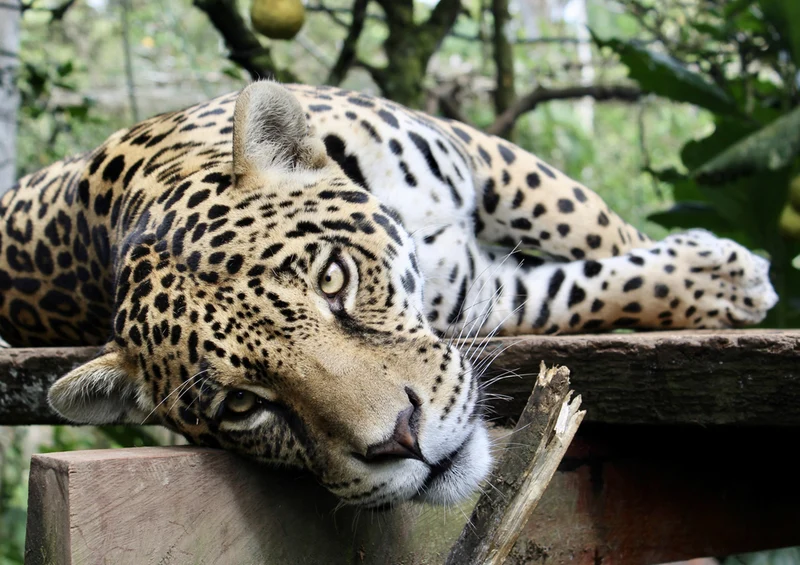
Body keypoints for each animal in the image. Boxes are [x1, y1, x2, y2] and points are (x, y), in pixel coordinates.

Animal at [0, 81, 777, 507]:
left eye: (333, 278)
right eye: (242, 405)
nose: (403, 441)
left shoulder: (482, 153)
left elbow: (586, 221)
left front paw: (730, 275)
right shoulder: (483, 291)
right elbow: (583, 288)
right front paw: (719, 280)